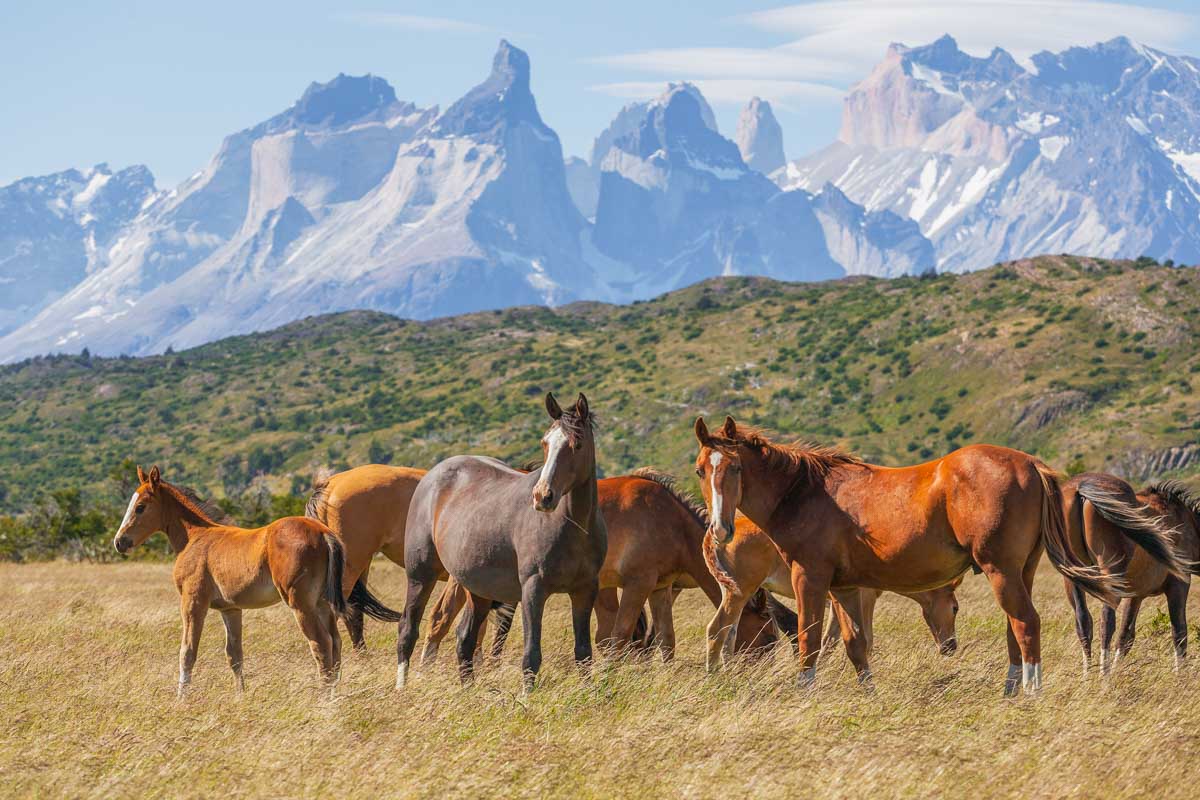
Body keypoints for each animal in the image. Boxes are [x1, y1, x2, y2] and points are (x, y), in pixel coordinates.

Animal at [111, 465, 401, 696]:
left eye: (140, 507)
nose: (119, 542)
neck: (195, 537)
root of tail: (323, 532)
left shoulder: (193, 603)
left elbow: (187, 652)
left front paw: (181, 699)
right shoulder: (230, 609)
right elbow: (234, 655)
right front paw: (240, 696)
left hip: (300, 604)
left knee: (321, 644)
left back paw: (323, 698)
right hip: (322, 603)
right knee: (336, 642)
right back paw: (334, 692)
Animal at [398, 393, 606, 692]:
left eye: (576, 444)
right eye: (545, 443)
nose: (542, 496)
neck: (574, 527)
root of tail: (432, 475)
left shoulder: (585, 590)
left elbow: (583, 653)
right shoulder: (533, 589)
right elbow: (531, 655)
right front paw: (527, 699)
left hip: (478, 588)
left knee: (465, 639)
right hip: (420, 575)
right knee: (408, 629)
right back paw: (400, 688)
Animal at [704, 514, 963, 671]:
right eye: (955, 608)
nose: (950, 646)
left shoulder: (836, 603)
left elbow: (830, 640)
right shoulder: (864, 597)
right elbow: (865, 639)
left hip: (735, 594)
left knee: (729, 633)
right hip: (740, 593)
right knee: (717, 629)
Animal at [1061, 474, 1199, 673]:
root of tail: (1081, 488)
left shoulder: (1135, 596)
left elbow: (1125, 636)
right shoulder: (1179, 585)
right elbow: (1179, 633)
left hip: (1073, 580)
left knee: (1083, 623)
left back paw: (1088, 675)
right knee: (1106, 622)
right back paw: (1104, 676)